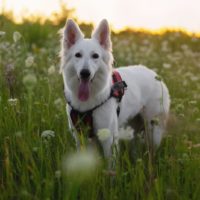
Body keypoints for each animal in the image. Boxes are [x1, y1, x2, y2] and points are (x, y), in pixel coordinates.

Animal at [59, 19, 170, 158]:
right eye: (78, 55)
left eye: (95, 56)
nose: (85, 73)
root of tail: (155, 75)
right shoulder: (80, 137)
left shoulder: (108, 138)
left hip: (153, 130)